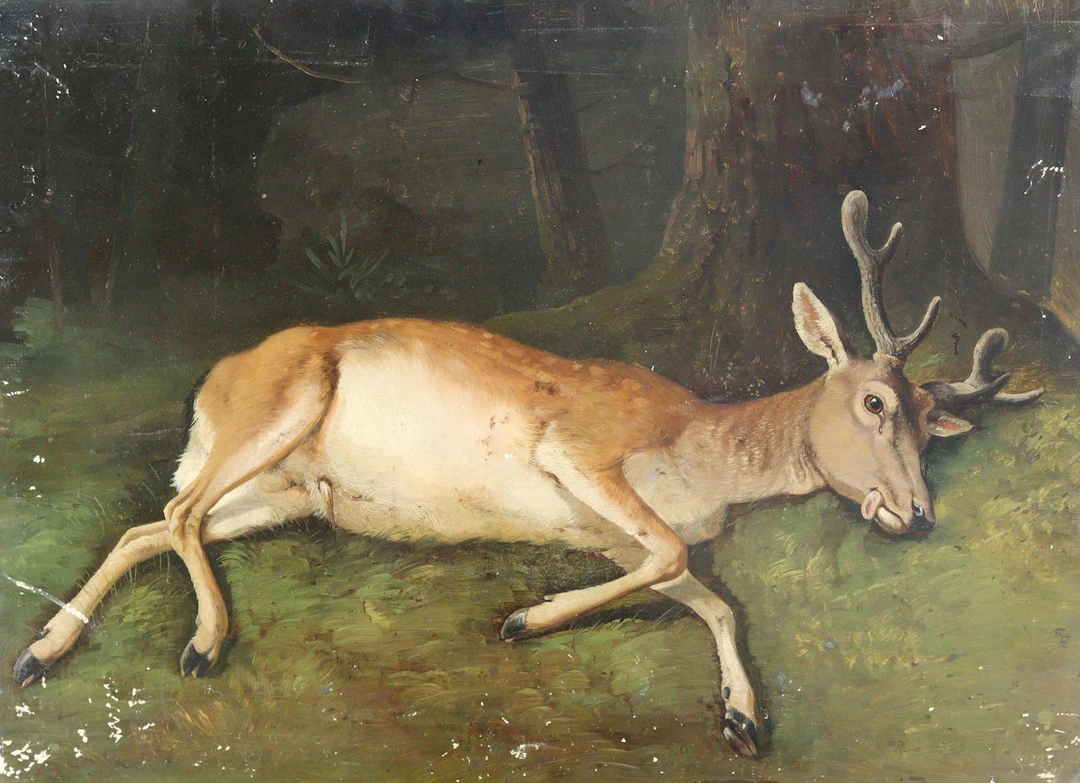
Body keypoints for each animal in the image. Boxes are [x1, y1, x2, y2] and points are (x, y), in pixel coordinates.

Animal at [13, 191, 1042, 758]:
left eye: (932, 425)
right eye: (874, 403)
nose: (919, 515)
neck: (701, 452)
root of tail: (209, 384)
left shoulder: (619, 532)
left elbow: (711, 596)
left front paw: (744, 720)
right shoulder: (577, 449)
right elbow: (676, 561)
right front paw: (522, 618)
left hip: (288, 495)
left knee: (152, 519)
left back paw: (39, 653)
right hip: (277, 412)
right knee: (178, 508)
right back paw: (201, 643)